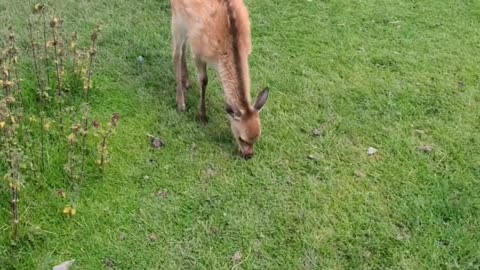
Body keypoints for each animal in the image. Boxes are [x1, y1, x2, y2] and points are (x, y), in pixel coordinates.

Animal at [170, 0, 268, 158]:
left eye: (257, 137)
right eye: (242, 138)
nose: (249, 155)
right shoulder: (199, 52)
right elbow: (204, 80)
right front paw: (202, 115)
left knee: (183, 47)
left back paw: (187, 81)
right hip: (177, 18)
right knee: (176, 53)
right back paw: (181, 103)